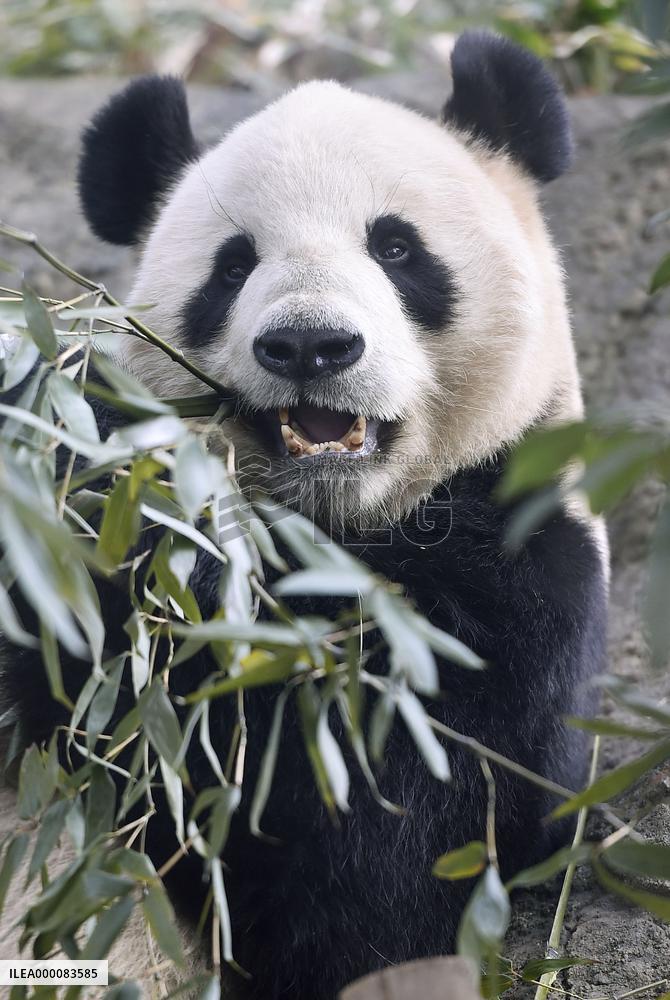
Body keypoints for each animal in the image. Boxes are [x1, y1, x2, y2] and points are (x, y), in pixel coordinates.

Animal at [1, 30, 608, 1000]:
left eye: (396, 248)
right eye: (233, 265)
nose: (310, 346)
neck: (333, 523)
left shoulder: (525, 566)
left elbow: (388, 816)